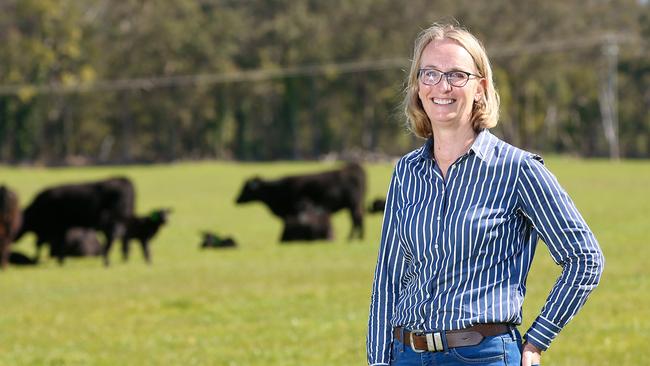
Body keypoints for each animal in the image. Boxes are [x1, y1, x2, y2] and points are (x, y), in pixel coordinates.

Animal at [235, 163, 364, 240]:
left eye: (246, 189)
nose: (235, 200)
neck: (278, 189)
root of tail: (355, 167)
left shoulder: (289, 213)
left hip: (353, 205)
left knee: (356, 219)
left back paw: (352, 238)